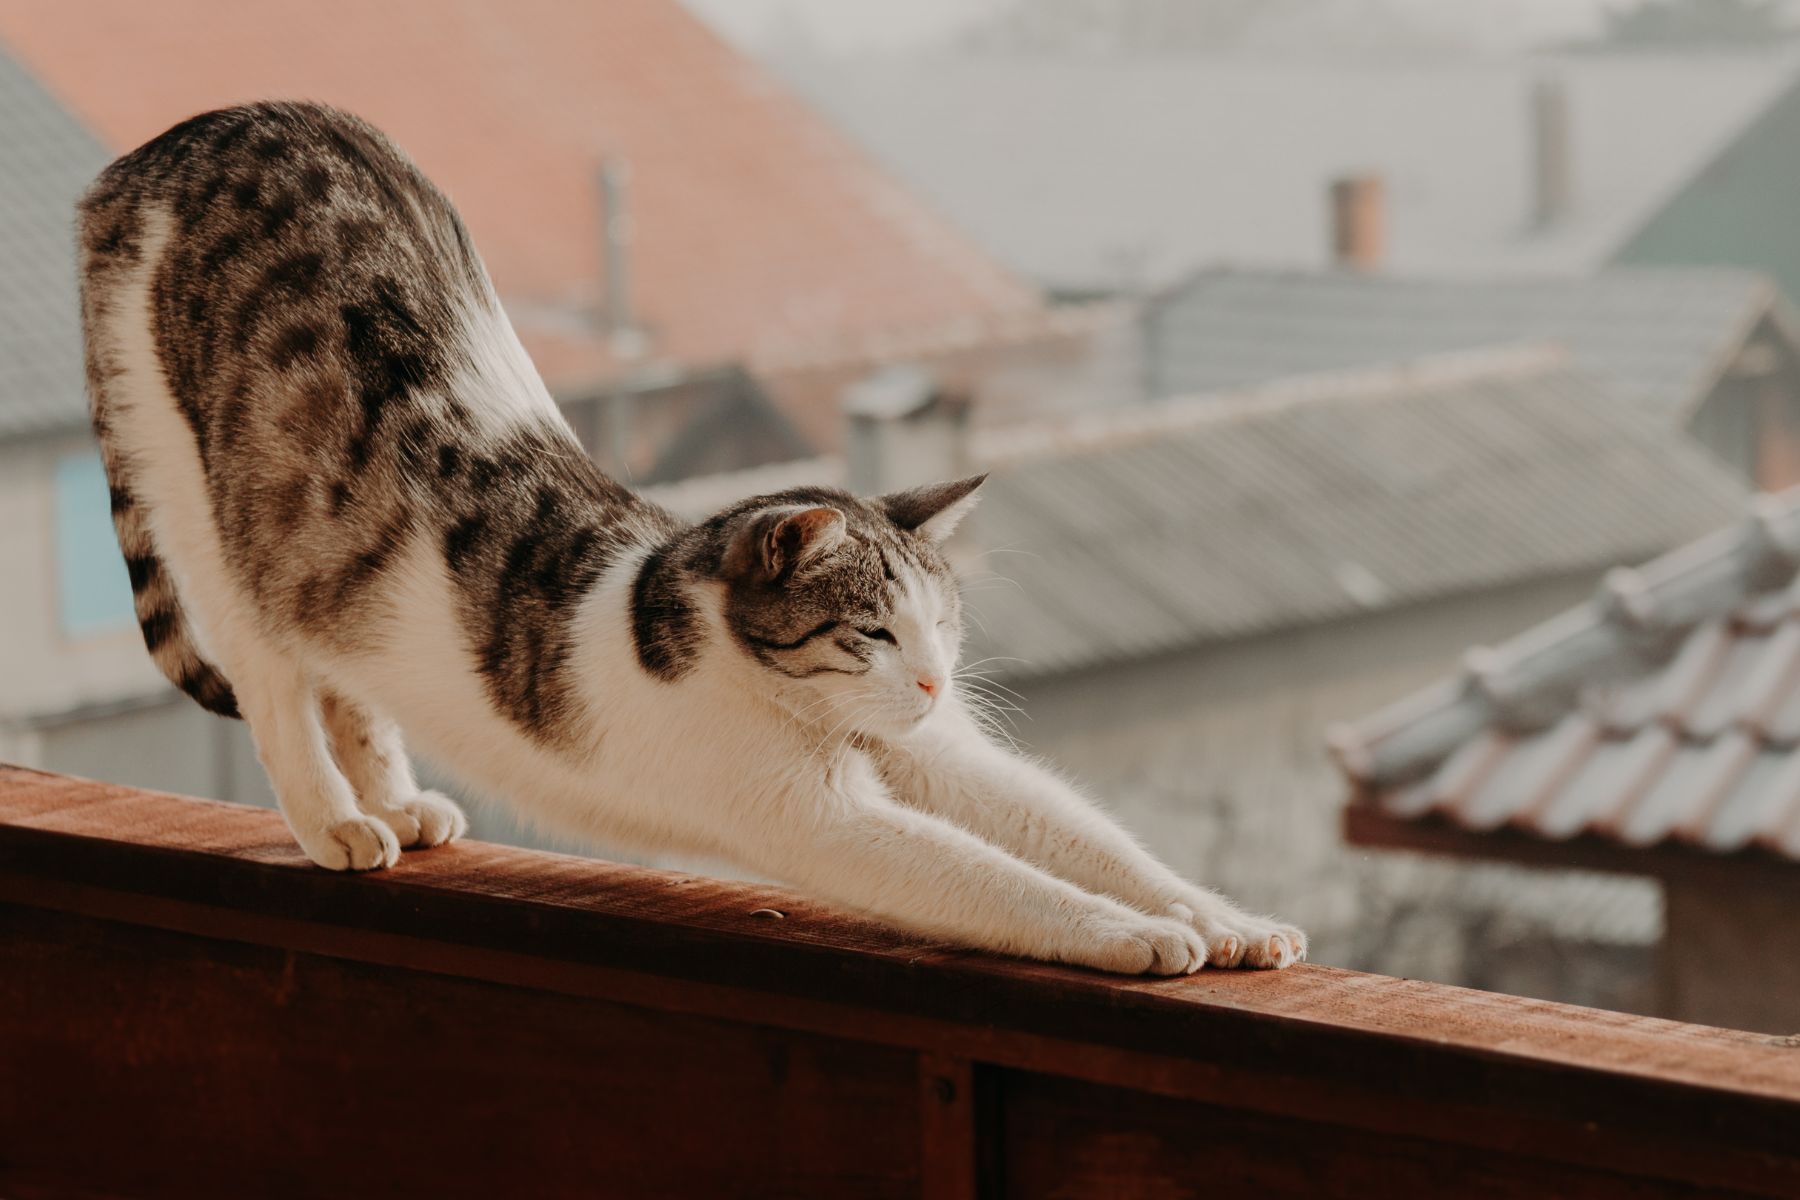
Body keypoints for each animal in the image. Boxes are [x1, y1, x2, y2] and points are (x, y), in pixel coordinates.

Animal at [77, 100, 1303, 978]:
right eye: (871, 632)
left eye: (943, 626)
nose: (933, 684)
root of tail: (173, 143)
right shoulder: (817, 818)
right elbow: (1004, 882)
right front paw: (1135, 935)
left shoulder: (948, 759)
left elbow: (1087, 838)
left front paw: (1221, 918)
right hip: (206, 506)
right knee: (275, 681)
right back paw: (335, 820)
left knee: (344, 672)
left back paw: (395, 803)